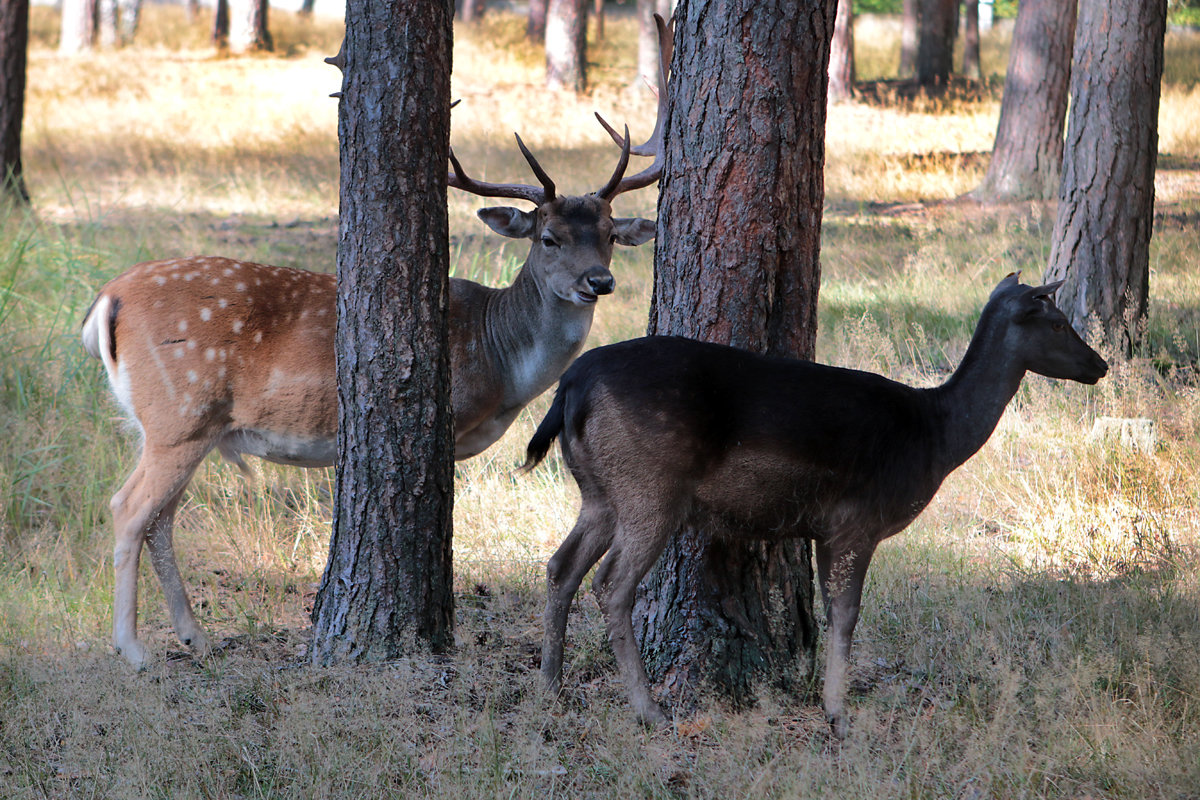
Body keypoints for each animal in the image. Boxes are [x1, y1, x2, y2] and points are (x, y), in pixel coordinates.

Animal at [79, 20, 672, 671]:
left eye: (610, 234)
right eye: (548, 237)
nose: (599, 282)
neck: (501, 366)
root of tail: (107, 299)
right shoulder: (448, 423)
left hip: (182, 424)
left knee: (161, 518)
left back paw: (195, 636)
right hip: (180, 411)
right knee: (129, 508)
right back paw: (133, 648)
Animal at [520, 273, 1108, 738]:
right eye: (1058, 323)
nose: (1099, 365)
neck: (936, 437)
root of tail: (569, 386)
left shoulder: (825, 530)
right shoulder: (858, 521)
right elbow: (845, 616)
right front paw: (838, 715)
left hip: (600, 493)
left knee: (560, 566)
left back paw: (550, 686)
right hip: (650, 488)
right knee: (610, 584)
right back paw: (648, 711)